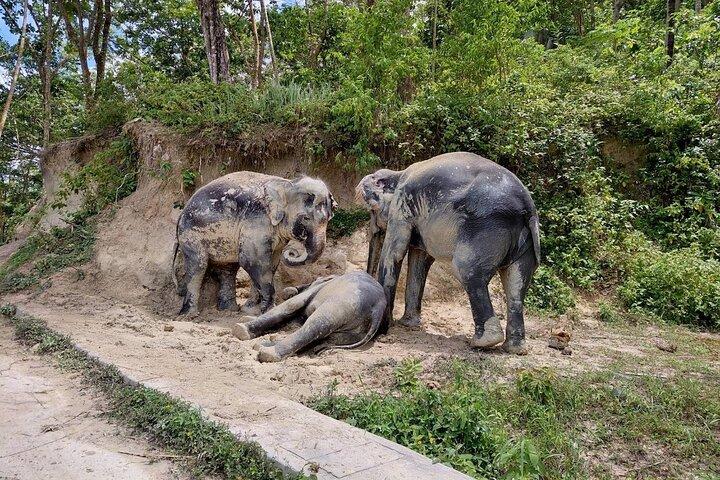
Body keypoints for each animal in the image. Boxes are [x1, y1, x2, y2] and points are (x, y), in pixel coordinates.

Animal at [172, 171, 336, 315]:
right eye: (306, 218)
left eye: (329, 218)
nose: (292, 252)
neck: (286, 184)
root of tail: (180, 215)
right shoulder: (256, 221)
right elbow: (252, 261)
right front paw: (268, 310)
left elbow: (271, 264)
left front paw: (251, 310)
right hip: (191, 235)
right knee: (198, 266)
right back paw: (190, 315)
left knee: (228, 268)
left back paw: (229, 310)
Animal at [231, 271, 386, 362]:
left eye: (316, 279)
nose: (289, 290)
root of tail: (378, 308)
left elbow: (291, 305)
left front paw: (241, 327)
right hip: (355, 330)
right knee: (323, 338)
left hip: (344, 303)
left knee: (316, 325)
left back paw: (266, 352)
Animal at [355, 152, 540, 355]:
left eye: (372, 211)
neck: (398, 173)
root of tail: (527, 207)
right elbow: (420, 260)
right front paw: (407, 324)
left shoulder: (401, 206)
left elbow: (395, 253)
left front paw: (386, 330)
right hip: (526, 242)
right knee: (516, 286)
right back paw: (514, 348)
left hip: (485, 229)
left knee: (467, 272)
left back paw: (482, 343)